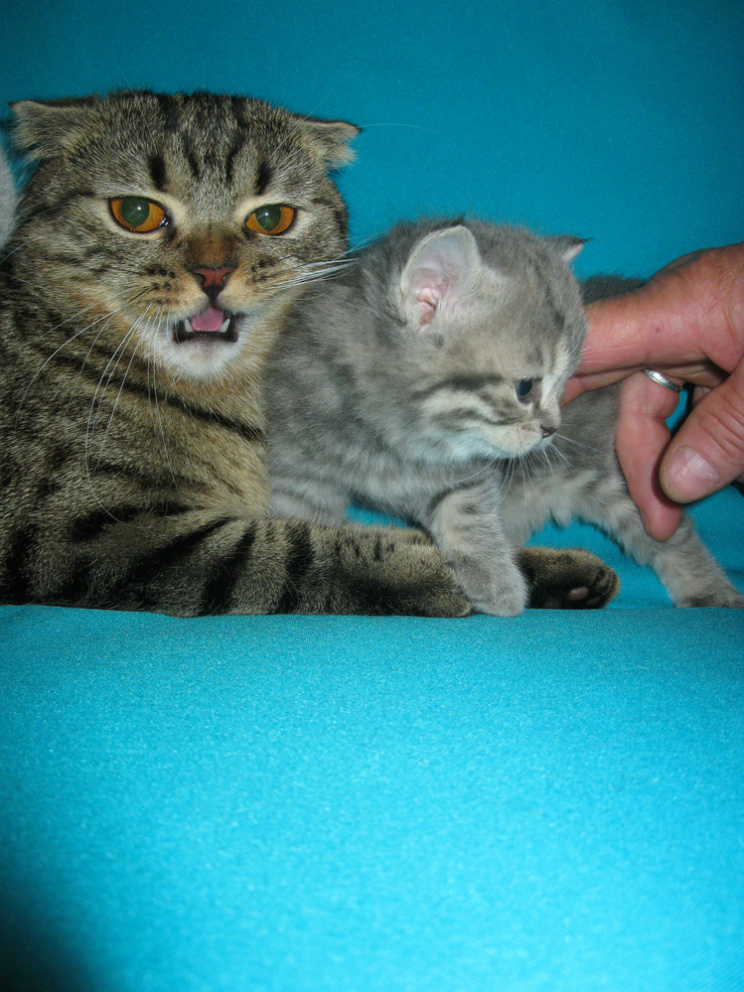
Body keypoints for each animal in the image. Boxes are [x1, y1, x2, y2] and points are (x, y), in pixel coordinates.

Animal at [0, 92, 614, 617]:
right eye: (136, 213)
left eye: (270, 219)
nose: (213, 273)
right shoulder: (85, 532)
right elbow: (284, 550)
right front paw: (425, 570)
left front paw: (529, 572)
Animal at [265, 218, 744, 614]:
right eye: (526, 388)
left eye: (566, 383)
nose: (552, 429)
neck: (391, 442)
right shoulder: (298, 469)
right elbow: (310, 528)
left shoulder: (467, 472)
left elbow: (467, 512)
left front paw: (496, 583)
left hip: (611, 477)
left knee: (669, 532)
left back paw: (709, 590)